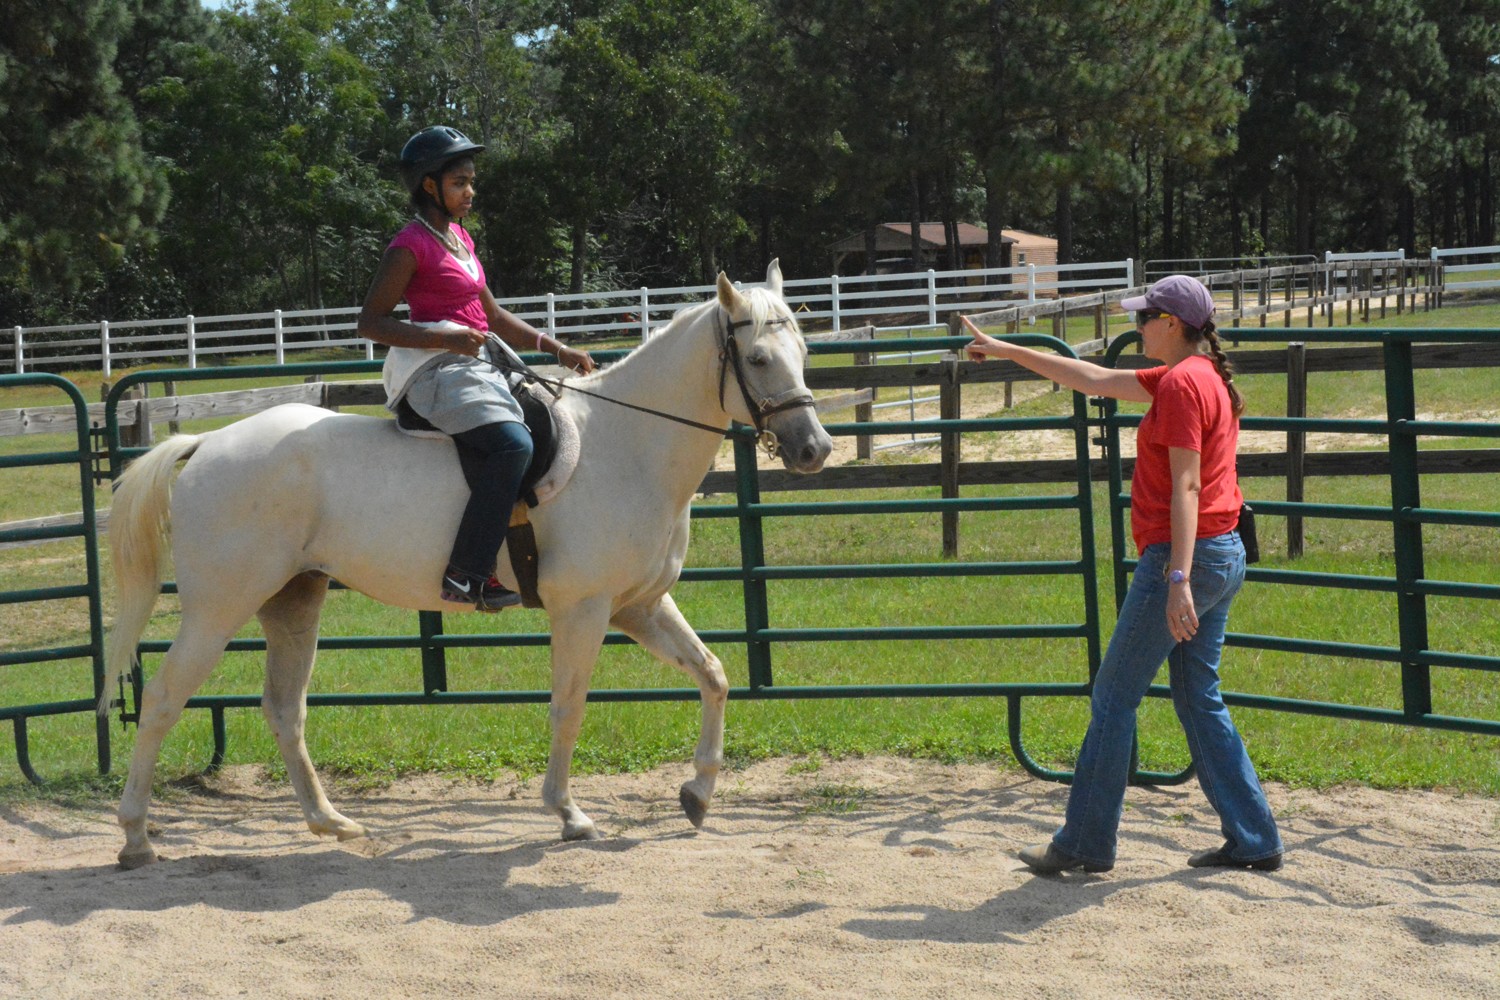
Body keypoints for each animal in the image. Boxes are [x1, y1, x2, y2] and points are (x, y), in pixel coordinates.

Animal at [102, 260, 834, 869]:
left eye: (803, 353)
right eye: (758, 357)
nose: (815, 449)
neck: (626, 445)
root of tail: (204, 444)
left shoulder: (640, 607)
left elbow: (714, 675)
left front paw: (698, 794)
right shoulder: (585, 610)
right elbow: (569, 706)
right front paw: (568, 814)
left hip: (293, 602)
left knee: (285, 709)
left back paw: (331, 822)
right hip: (217, 610)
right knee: (164, 701)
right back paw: (136, 837)